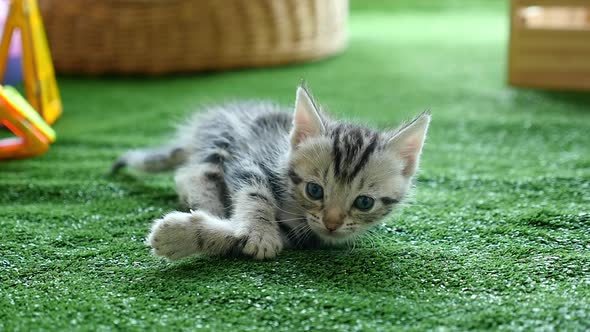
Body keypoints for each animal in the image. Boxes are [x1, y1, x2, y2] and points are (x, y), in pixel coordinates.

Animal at [113, 84, 432, 260]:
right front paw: (259, 231)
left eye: (364, 202)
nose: (332, 224)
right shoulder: (248, 159)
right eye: (314, 190)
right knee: (193, 171)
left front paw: (183, 235)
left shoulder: (301, 235)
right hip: (222, 136)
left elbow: (236, 237)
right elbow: (256, 194)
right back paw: (208, 203)